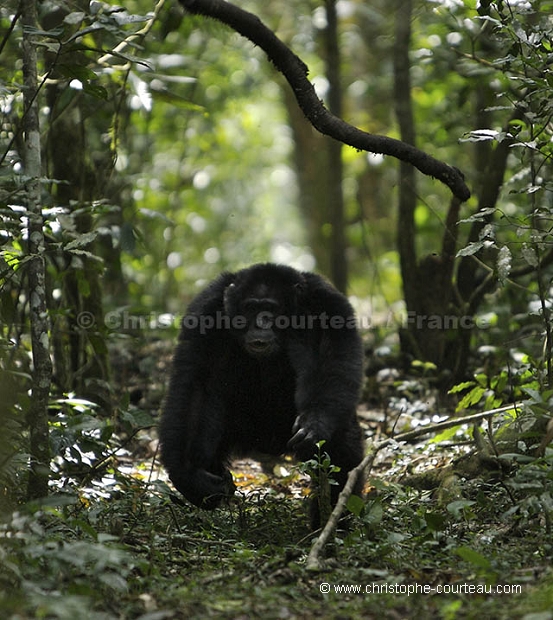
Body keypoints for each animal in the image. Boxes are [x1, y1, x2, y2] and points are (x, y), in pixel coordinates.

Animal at [158, 262, 366, 524]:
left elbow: (332, 358)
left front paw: (314, 424)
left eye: (271, 309)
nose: (261, 322)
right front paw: (190, 477)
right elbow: (196, 384)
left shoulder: (329, 305)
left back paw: (330, 523)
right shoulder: (205, 310)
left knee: (341, 446)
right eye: (251, 308)